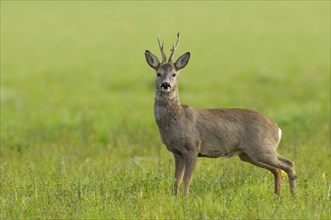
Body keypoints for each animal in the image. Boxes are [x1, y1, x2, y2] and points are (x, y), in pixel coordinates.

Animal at [144, 32, 296, 196]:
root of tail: (277, 128)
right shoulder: (177, 152)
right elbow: (175, 182)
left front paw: (185, 200)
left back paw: (293, 197)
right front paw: (175, 199)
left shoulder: (192, 147)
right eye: (158, 73)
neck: (176, 118)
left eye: (174, 74)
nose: (165, 85)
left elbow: (186, 180)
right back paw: (277, 197)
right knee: (277, 170)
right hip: (248, 154)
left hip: (262, 148)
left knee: (289, 164)